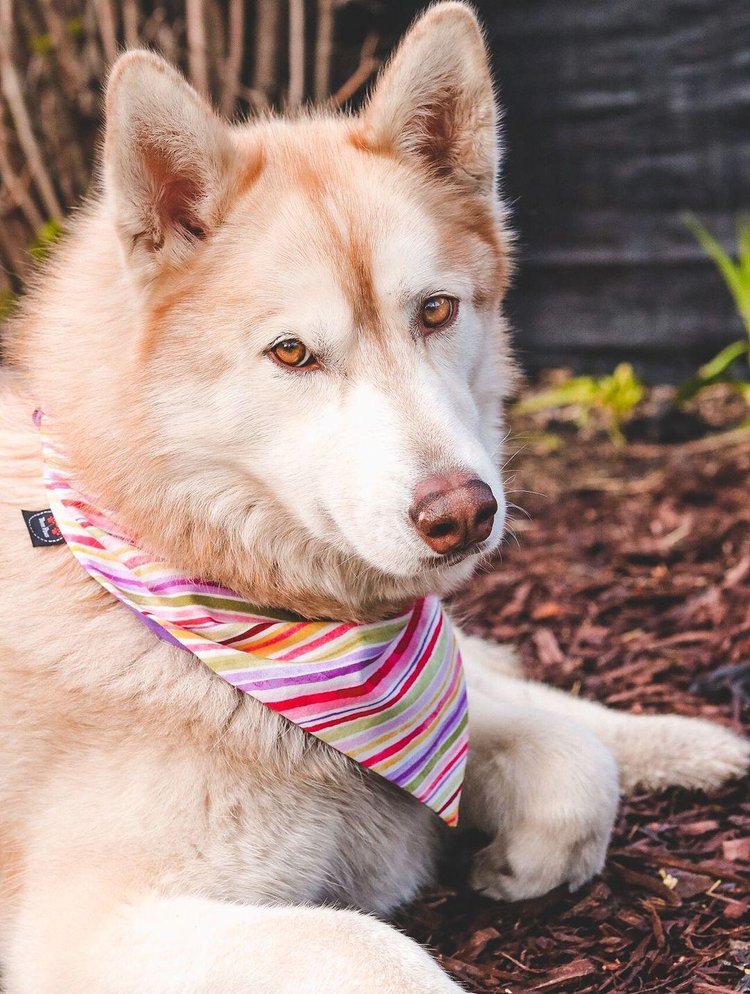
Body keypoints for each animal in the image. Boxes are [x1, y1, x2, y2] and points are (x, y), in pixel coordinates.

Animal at [1, 3, 750, 988]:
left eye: (435, 311)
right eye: (291, 352)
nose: (463, 513)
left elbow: (570, 761)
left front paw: (525, 858)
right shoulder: (86, 933)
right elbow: (372, 947)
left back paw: (688, 741)